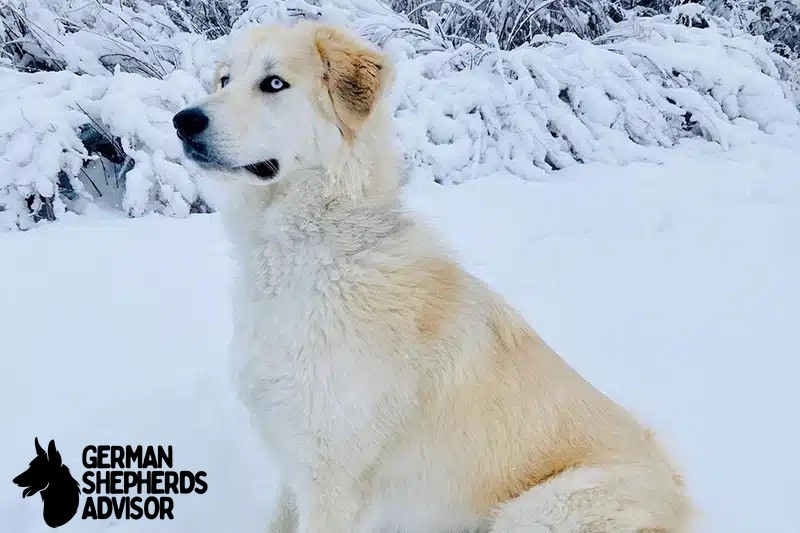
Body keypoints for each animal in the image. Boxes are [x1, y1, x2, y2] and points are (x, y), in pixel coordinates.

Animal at [173, 18, 692, 528]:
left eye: (274, 83)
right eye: (224, 80)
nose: (183, 120)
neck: (315, 254)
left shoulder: (331, 480)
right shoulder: (293, 464)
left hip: (533, 510)